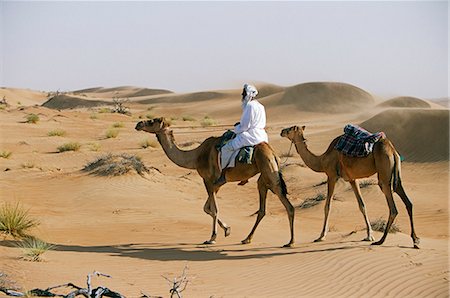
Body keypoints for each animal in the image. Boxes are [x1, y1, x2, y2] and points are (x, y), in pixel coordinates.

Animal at [280, 124, 420, 248]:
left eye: (290, 129)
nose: (281, 131)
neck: (322, 160)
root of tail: (392, 150)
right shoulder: (353, 179)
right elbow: (362, 205)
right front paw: (369, 235)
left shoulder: (331, 175)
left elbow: (327, 206)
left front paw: (321, 236)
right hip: (396, 174)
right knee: (407, 201)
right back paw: (415, 241)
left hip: (384, 175)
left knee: (393, 207)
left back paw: (381, 240)